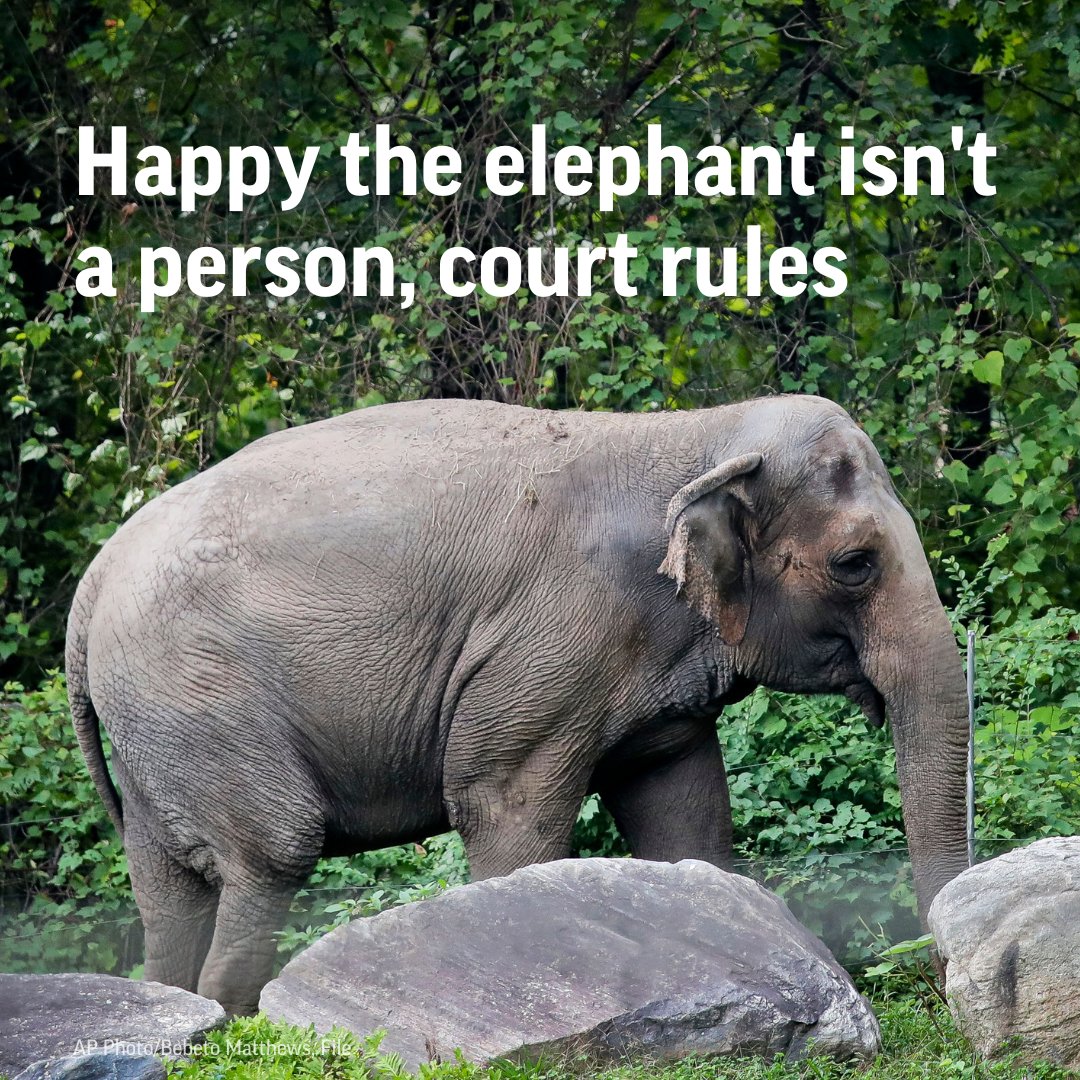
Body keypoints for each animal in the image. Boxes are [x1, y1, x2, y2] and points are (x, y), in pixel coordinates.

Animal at [66, 394, 969, 1014]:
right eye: (855, 563)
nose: (938, 978)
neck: (694, 434)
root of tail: (94, 580)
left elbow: (686, 817)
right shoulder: (550, 644)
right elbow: (504, 806)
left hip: (154, 726)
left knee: (167, 889)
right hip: (199, 696)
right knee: (272, 853)